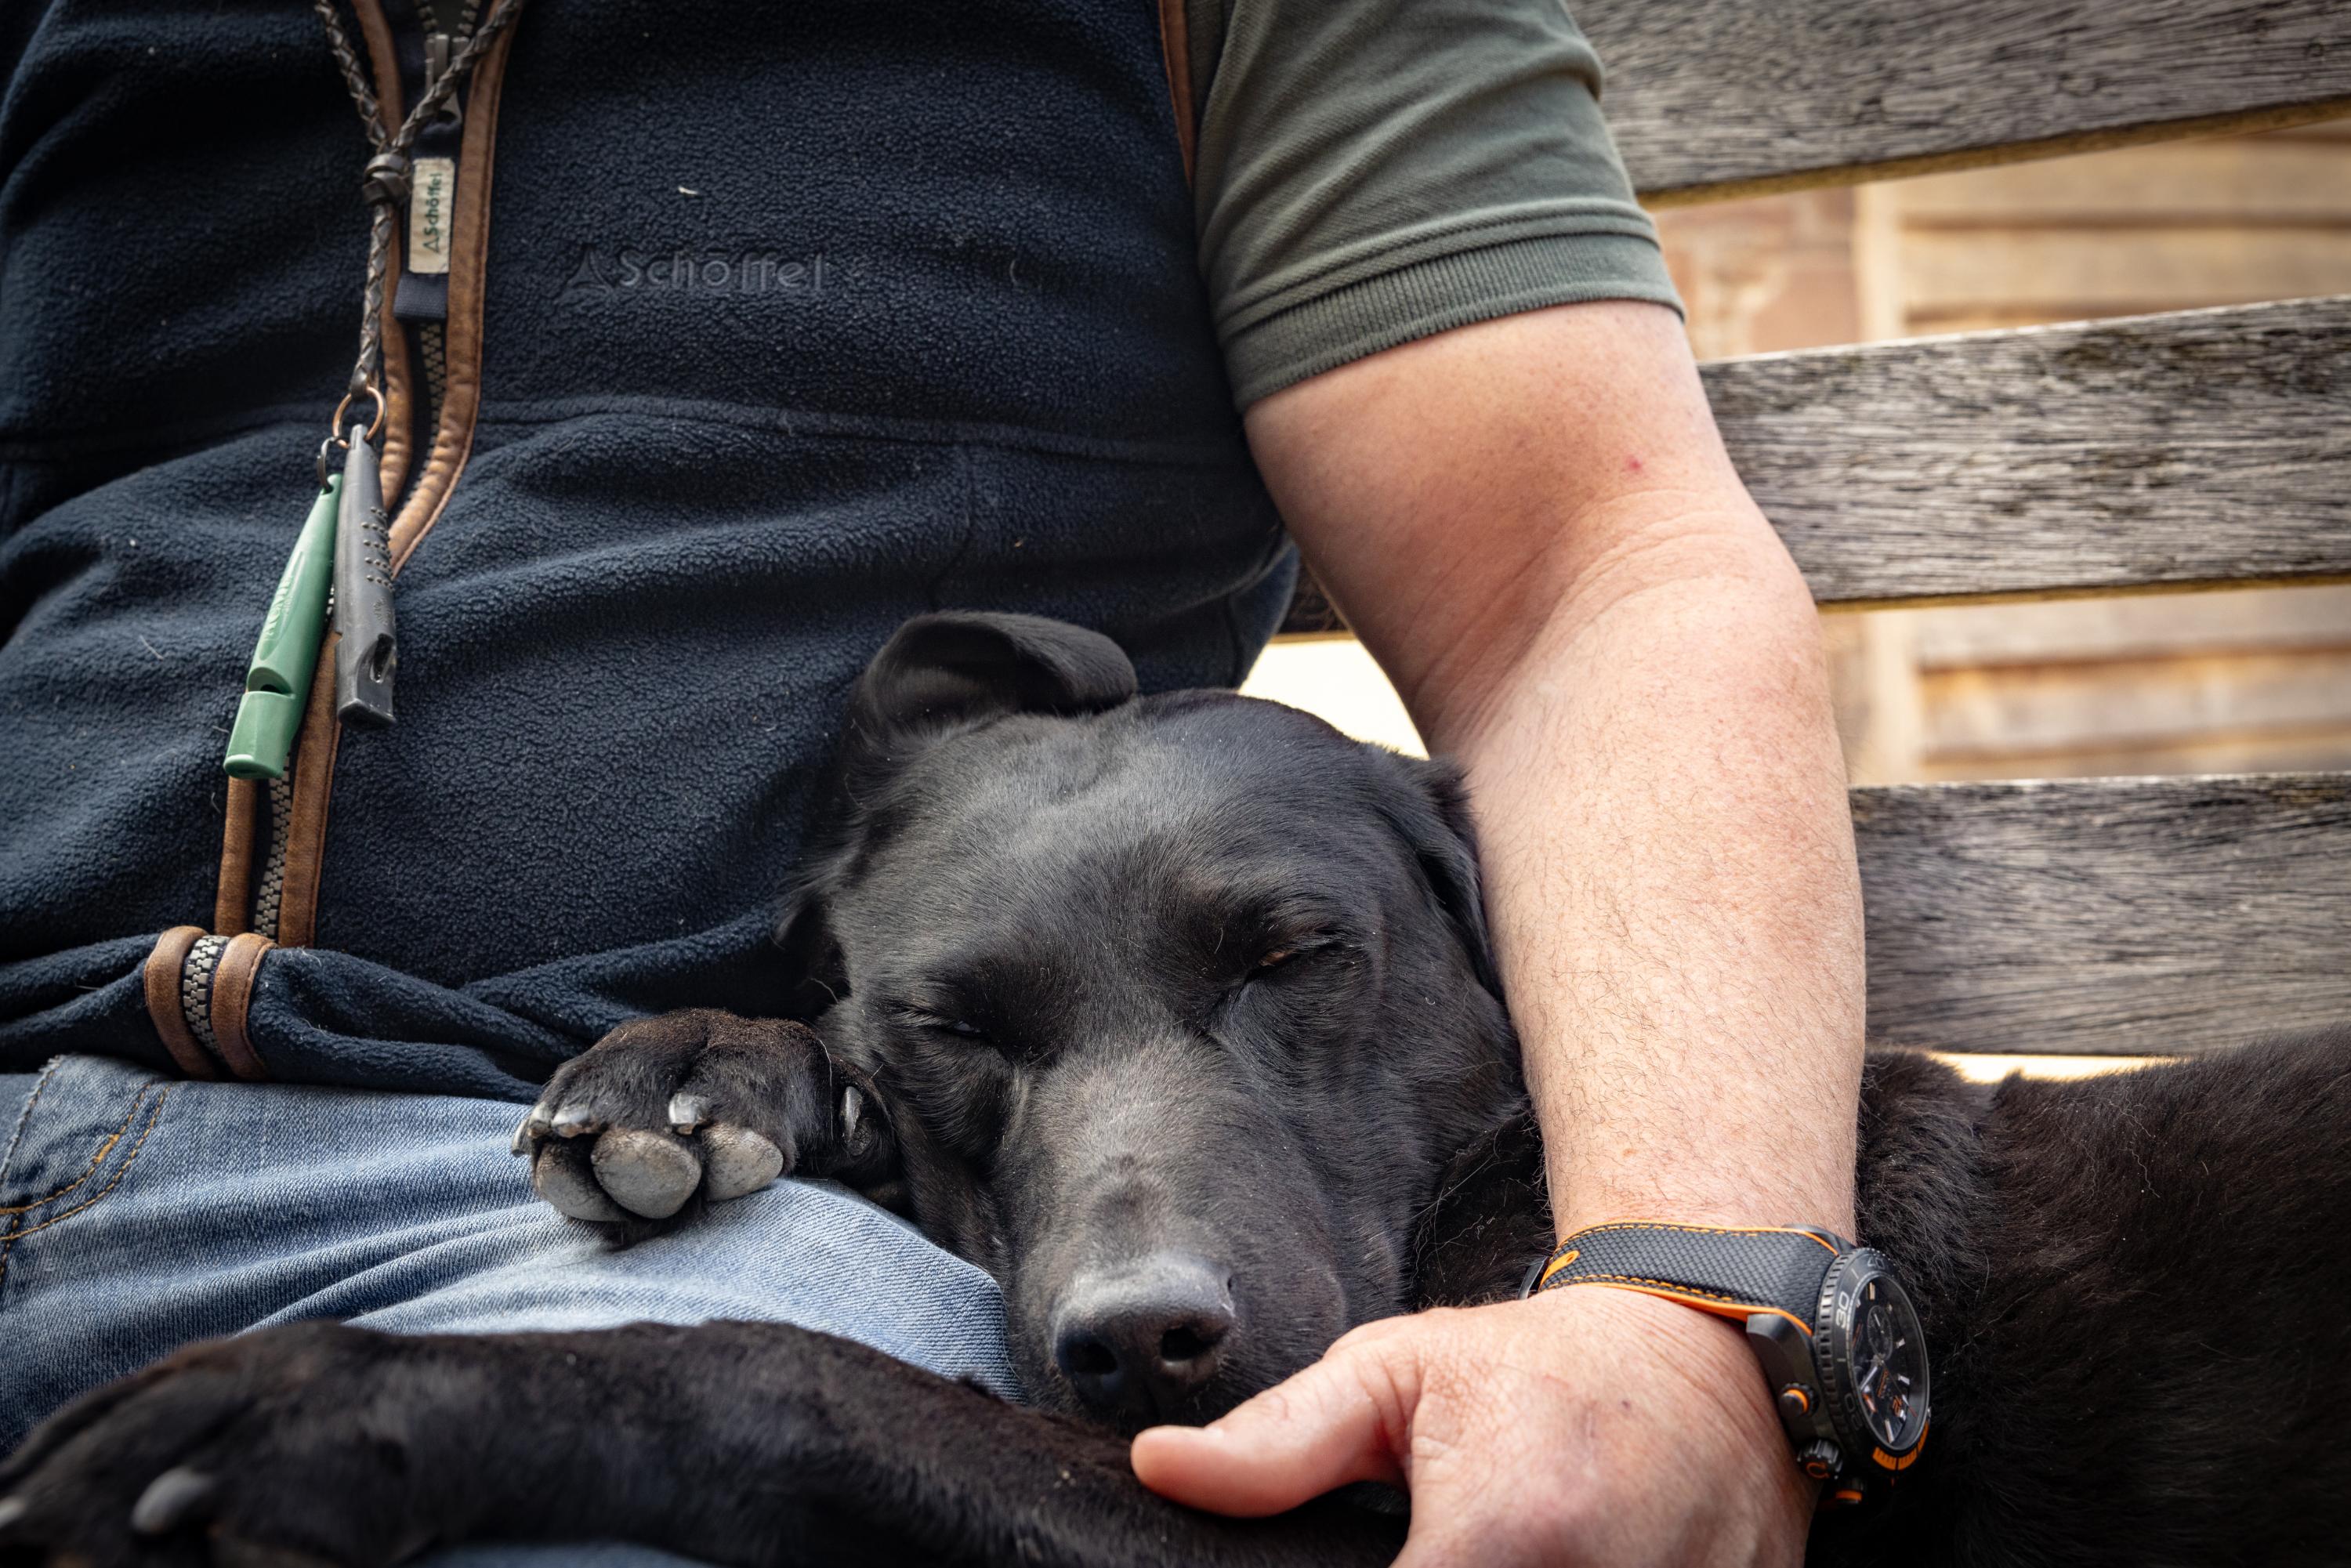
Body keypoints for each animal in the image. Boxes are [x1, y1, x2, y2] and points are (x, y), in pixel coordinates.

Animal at [4, 616, 2351, 1568]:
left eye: (1297, 957)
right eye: (956, 1026)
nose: (1144, 1343)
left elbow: (800, 1373)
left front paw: (338, 1400)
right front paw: (701, 1061)